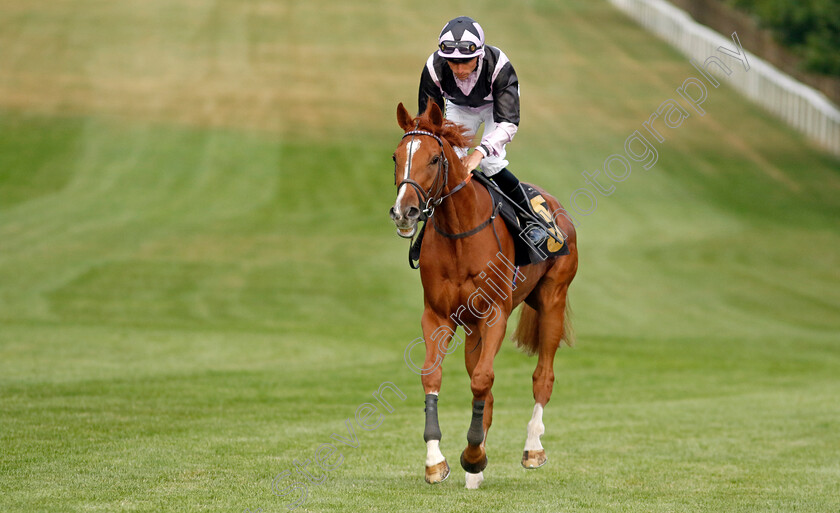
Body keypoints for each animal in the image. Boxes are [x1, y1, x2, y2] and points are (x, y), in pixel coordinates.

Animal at [388, 100, 576, 488]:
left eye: (434, 159)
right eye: (395, 157)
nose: (404, 212)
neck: (460, 234)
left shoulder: (494, 314)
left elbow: (483, 379)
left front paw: (472, 456)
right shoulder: (438, 315)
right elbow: (434, 376)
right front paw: (438, 462)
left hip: (553, 299)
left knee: (543, 376)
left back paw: (532, 448)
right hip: (472, 328)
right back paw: (476, 471)